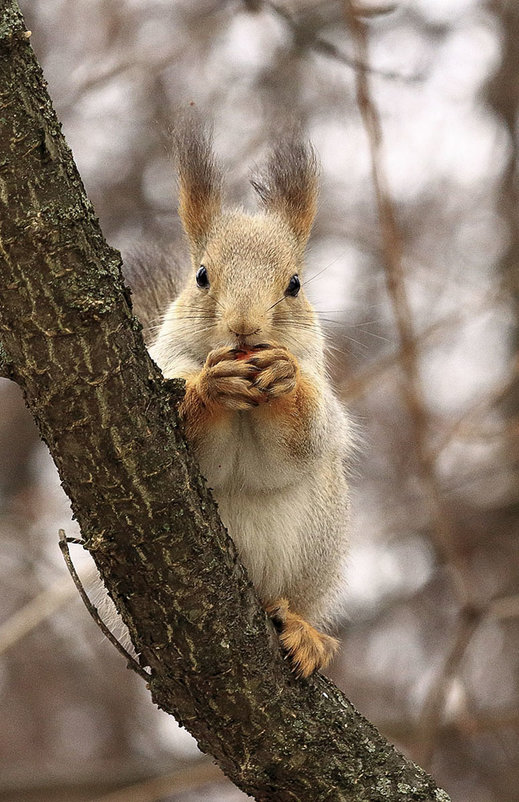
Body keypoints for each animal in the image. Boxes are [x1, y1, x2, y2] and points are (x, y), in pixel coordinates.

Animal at [134, 120, 354, 680]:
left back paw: (303, 630)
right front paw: (211, 386)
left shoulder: (322, 391)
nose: (244, 328)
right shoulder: (163, 367)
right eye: (201, 276)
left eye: (294, 284)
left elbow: (306, 434)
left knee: (295, 602)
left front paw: (283, 377)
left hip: (318, 549)